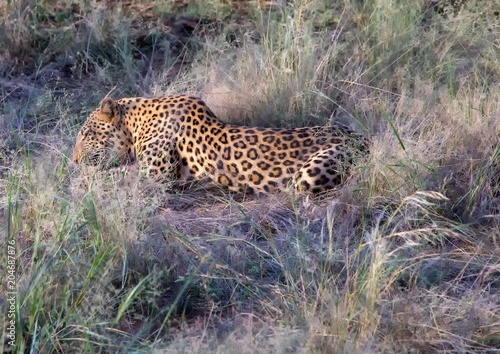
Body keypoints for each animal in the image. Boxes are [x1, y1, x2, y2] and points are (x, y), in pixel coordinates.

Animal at [72, 95, 370, 195]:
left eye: (85, 135)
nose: (73, 161)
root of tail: (365, 138)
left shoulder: (155, 174)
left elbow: (116, 175)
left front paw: (80, 182)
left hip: (309, 174)